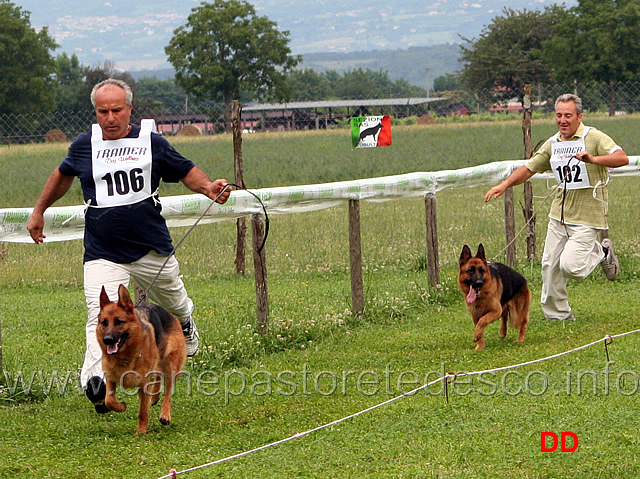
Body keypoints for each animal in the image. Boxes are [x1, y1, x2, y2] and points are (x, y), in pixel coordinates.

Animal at [97, 284, 186, 436]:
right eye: (104, 323)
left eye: (119, 322)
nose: (107, 340)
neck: (126, 356)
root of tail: (167, 312)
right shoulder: (110, 378)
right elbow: (109, 400)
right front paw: (121, 406)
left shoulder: (144, 383)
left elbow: (143, 412)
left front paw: (141, 432)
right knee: (158, 375)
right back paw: (155, 396)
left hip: (170, 365)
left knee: (167, 391)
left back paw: (165, 415)